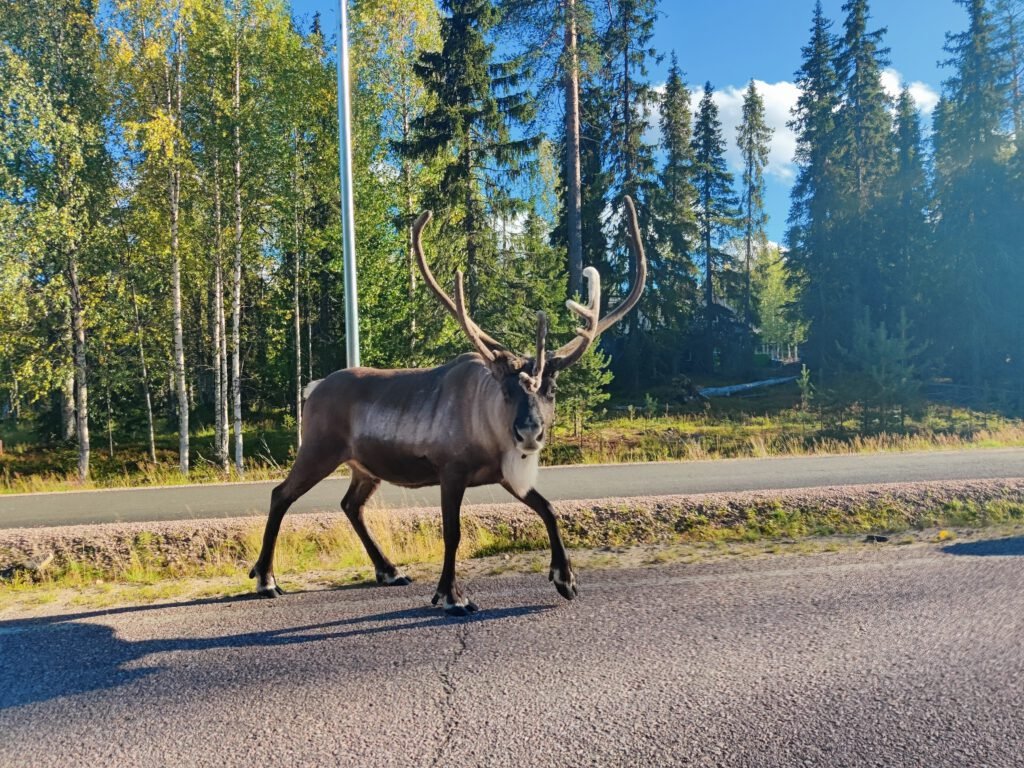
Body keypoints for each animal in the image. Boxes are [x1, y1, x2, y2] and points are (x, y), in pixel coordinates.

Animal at [249, 197, 647, 615]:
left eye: (551, 389)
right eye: (507, 391)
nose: (529, 431)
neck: (489, 428)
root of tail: (313, 388)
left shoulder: (503, 474)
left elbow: (549, 509)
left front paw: (566, 579)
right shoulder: (451, 471)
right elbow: (452, 532)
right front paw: (451, 595)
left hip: (364, 467)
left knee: (350, 505)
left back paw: (389, 570)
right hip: (318, 450)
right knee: (281, 494)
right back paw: (266, 579)